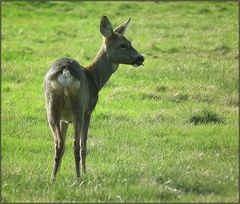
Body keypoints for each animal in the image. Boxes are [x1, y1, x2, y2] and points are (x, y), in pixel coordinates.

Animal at [43, 16, 144, 182]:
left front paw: (56, 174)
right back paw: (79, 178)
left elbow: (62, 145)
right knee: (76, 143)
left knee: (58, 143)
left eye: (130, 42)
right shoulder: (89, 111)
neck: (94, 77)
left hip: (52, 107)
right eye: (123, 45)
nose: (140, 57)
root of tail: (65, 71)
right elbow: (84, 143)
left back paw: (52, 179)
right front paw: (84, 172)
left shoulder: (64, 119)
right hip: (79, 107)